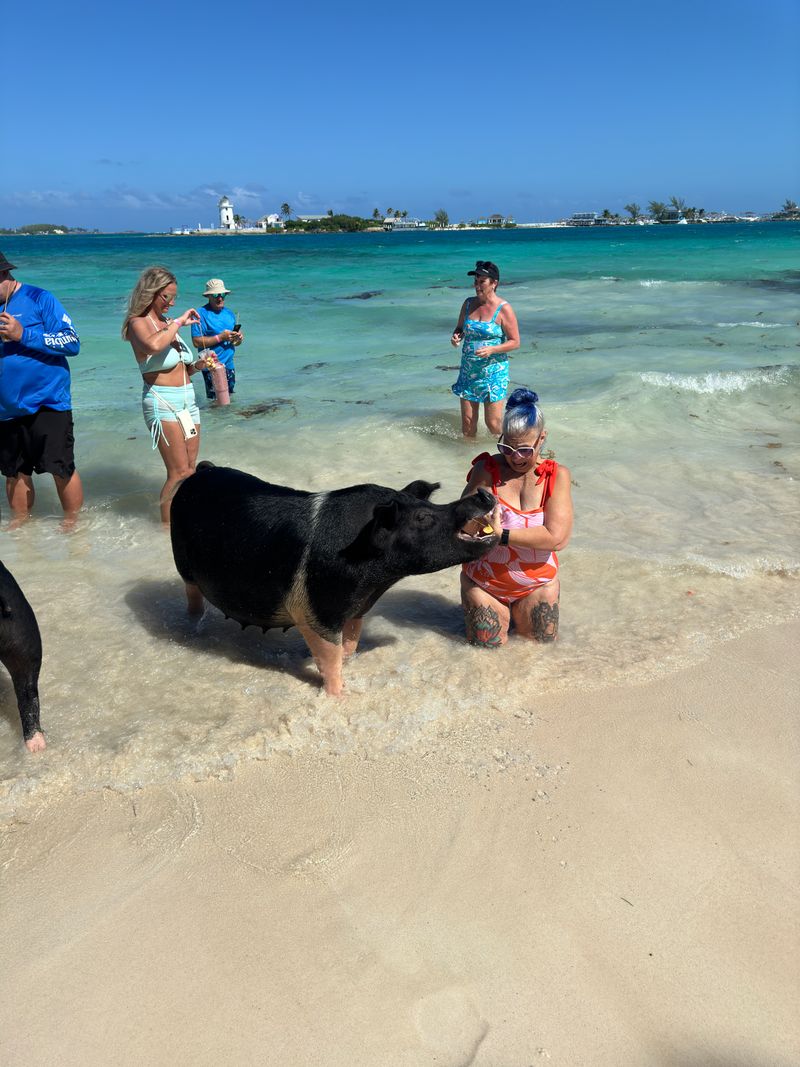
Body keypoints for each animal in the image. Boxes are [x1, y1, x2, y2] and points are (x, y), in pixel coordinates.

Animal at [170, 462, 498, 695]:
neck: (374, 579)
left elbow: (349, 645)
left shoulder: (356, 608)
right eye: (423, 518)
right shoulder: (317, 613)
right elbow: (330, 658)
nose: (482, 495)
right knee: (191, 594)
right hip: (182, 562)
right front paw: (340, 695)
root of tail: (201, 470)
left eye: (429, 507)